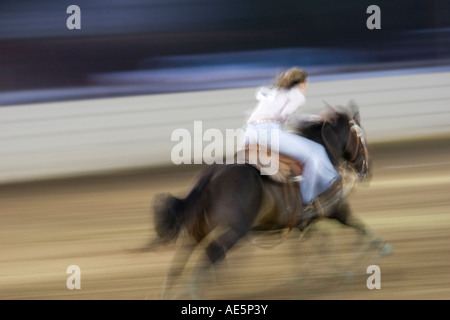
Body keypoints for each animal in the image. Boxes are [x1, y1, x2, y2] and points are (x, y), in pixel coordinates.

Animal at [149, 102, 388, 298]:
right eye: (360, 137)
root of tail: (212, 174)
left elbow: (320, 244)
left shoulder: (302, 222)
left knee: (182, 259)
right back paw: (195, 291)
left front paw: (320, 273)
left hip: (199, 228)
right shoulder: (335, 208)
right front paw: (380, 246)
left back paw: (170, 292)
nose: (368, 170)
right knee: (213, 252)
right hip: (235, 231)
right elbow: (354, 223)